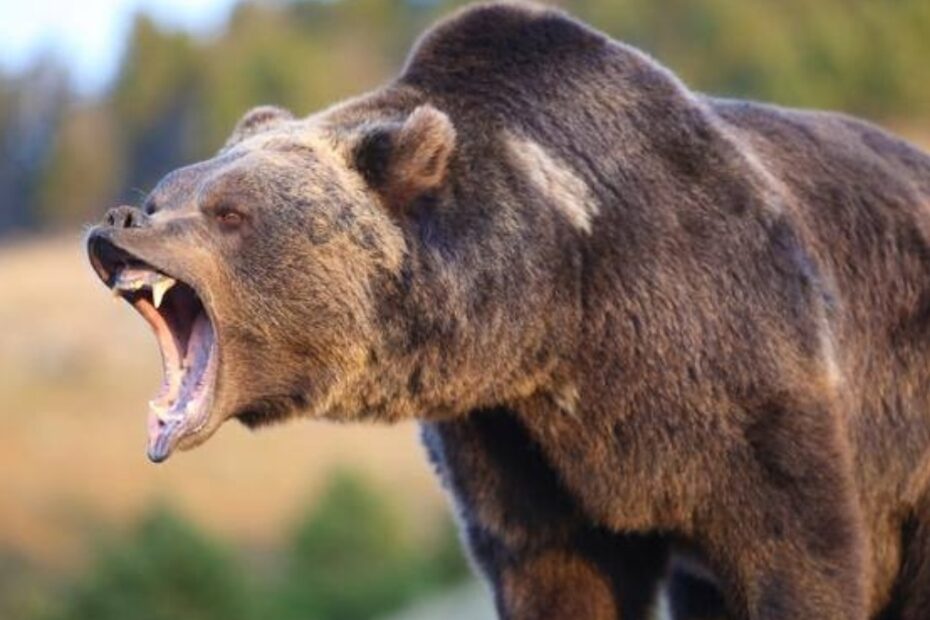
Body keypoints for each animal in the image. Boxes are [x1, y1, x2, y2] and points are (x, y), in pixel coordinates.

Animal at [86, 2, 930, 619]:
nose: (118, 221)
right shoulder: (514, 445)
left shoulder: (745, 372)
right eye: (163, 196)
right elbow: (554, 573)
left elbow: (797, 550)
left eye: (229, 212)